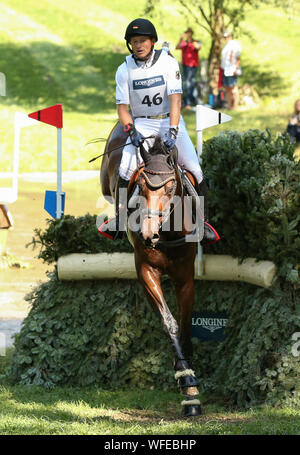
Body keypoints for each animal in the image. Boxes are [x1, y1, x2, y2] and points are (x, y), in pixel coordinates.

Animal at [100, 122, 202, 416]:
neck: (166, 233)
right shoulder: (146, 272)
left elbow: (185, 323)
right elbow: (169, 323)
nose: (148, 234)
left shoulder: (185, 279)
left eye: (170, 189)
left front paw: (189, 378)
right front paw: (187, 382)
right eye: (142, 188)